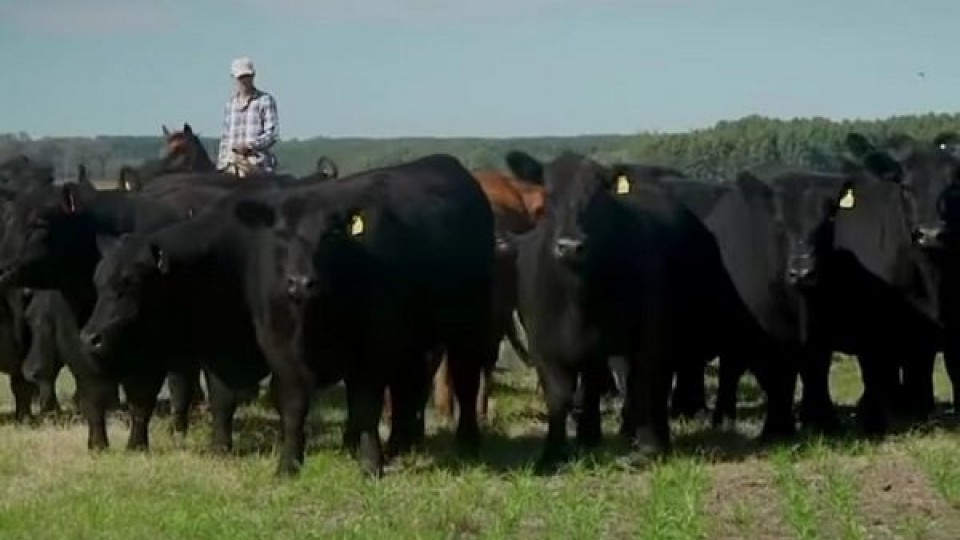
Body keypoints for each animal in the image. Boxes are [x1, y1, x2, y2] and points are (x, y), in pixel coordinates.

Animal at [81, 153, 498, 476]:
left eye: (131, 283)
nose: (90, 337)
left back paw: (465, 442)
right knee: (409, 384)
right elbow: (241, 401)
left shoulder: (366, 349)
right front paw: (228, 449)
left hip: (468, 326)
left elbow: (363, 405)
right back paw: (400, 442)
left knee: (464, 380)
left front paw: (367, 462)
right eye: (99, 282)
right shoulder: (248, 346)